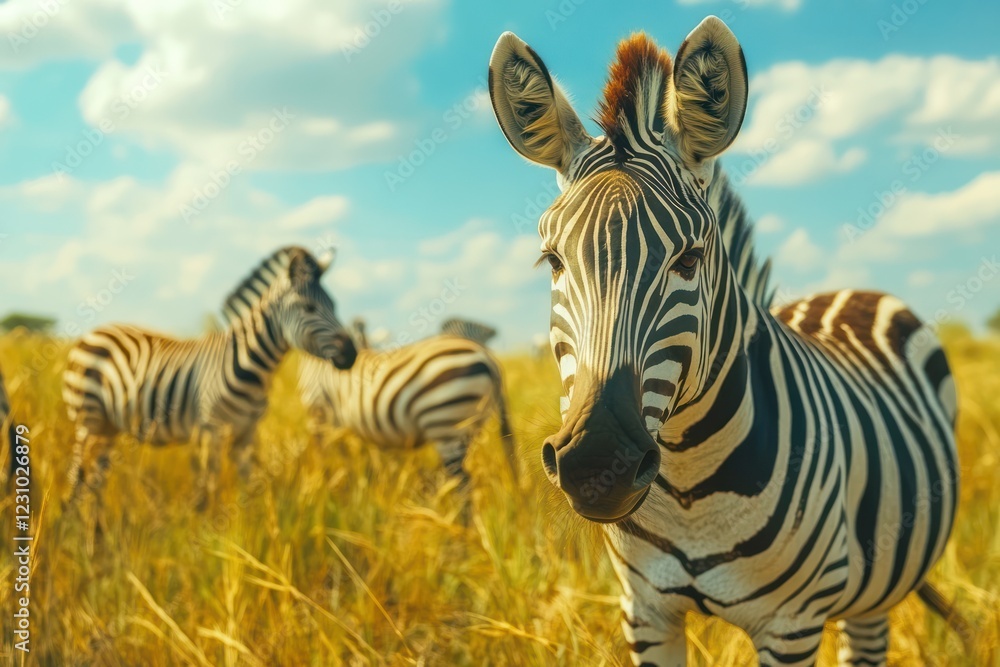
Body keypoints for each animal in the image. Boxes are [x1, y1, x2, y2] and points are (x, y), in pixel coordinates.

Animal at [62, 246, 357, 511]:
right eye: (309, 307)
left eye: (334, 306)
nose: (352, 353)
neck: (253, 368)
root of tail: (95, 332)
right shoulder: (211, 431)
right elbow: (208, 493)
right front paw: (207, 533)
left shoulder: (246, 435)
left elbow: (250, 488)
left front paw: (250, 530)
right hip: (86, 420)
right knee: (77, 479)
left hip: (108, 427)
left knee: (94, 483)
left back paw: (96, 533)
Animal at [297, 333, 517, 486]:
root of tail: (488, 357)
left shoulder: (318, 409)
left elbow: (327, 457)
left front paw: (327, 486)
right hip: (466, 430)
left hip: (444, 422)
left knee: (462, 483)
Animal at [489, 17, 962, 666]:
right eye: (552, 261)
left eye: (689, 260)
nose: (598, 464)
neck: (691, 486)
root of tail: (851, 291)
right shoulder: (645, 612)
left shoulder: (791, 627)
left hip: (876, 585)